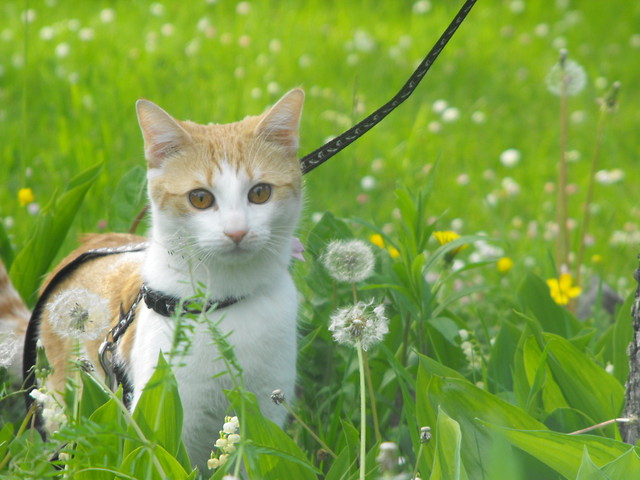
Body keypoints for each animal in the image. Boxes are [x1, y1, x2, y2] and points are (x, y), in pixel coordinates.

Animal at [0, 89, 304, 472]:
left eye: (260, 193)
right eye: (200, 198)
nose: (237, 231)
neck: (223, 303)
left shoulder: (265, 413)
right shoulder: (168, 416)